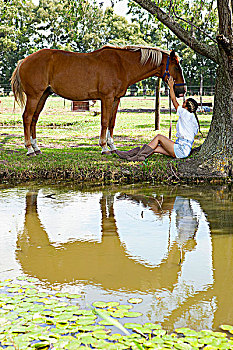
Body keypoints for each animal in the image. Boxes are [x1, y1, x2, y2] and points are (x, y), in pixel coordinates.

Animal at [11, 45, 186, 155]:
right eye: (176, 67)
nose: (182, 90)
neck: (122, 65)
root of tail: (23, 61)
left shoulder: (115, 99)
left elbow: (111, 122)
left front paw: (113, 147)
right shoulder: (106, 98)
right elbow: (104, 121)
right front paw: (104, 148)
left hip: (43, 95)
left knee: (34, 119)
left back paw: (36, 147)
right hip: (34, 96)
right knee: (27, 118)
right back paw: (29, 149)